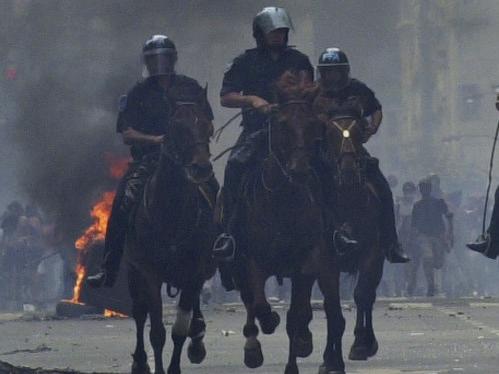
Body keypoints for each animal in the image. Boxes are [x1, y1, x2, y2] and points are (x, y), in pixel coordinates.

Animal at [124, 90, 218, 374]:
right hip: (133, 271)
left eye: (208, 128)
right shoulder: (149, 273)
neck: (172, 211)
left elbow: (179, 330)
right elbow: (156, 330)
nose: (201, 168)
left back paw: (197, 339)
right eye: (176, 128)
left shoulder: (194, 271)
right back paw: (140, 361)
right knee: (139, 313)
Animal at [235, 72, 348, 374]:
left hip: (326, 264)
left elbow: (296, 315)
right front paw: (265, 327)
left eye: (312, 125)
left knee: (331, 313)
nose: (299, 170)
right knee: (251, 301)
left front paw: (294, 360)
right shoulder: (252, 259)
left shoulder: (305, 262)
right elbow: (258, 303)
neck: (282, 202)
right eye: (282, 123)